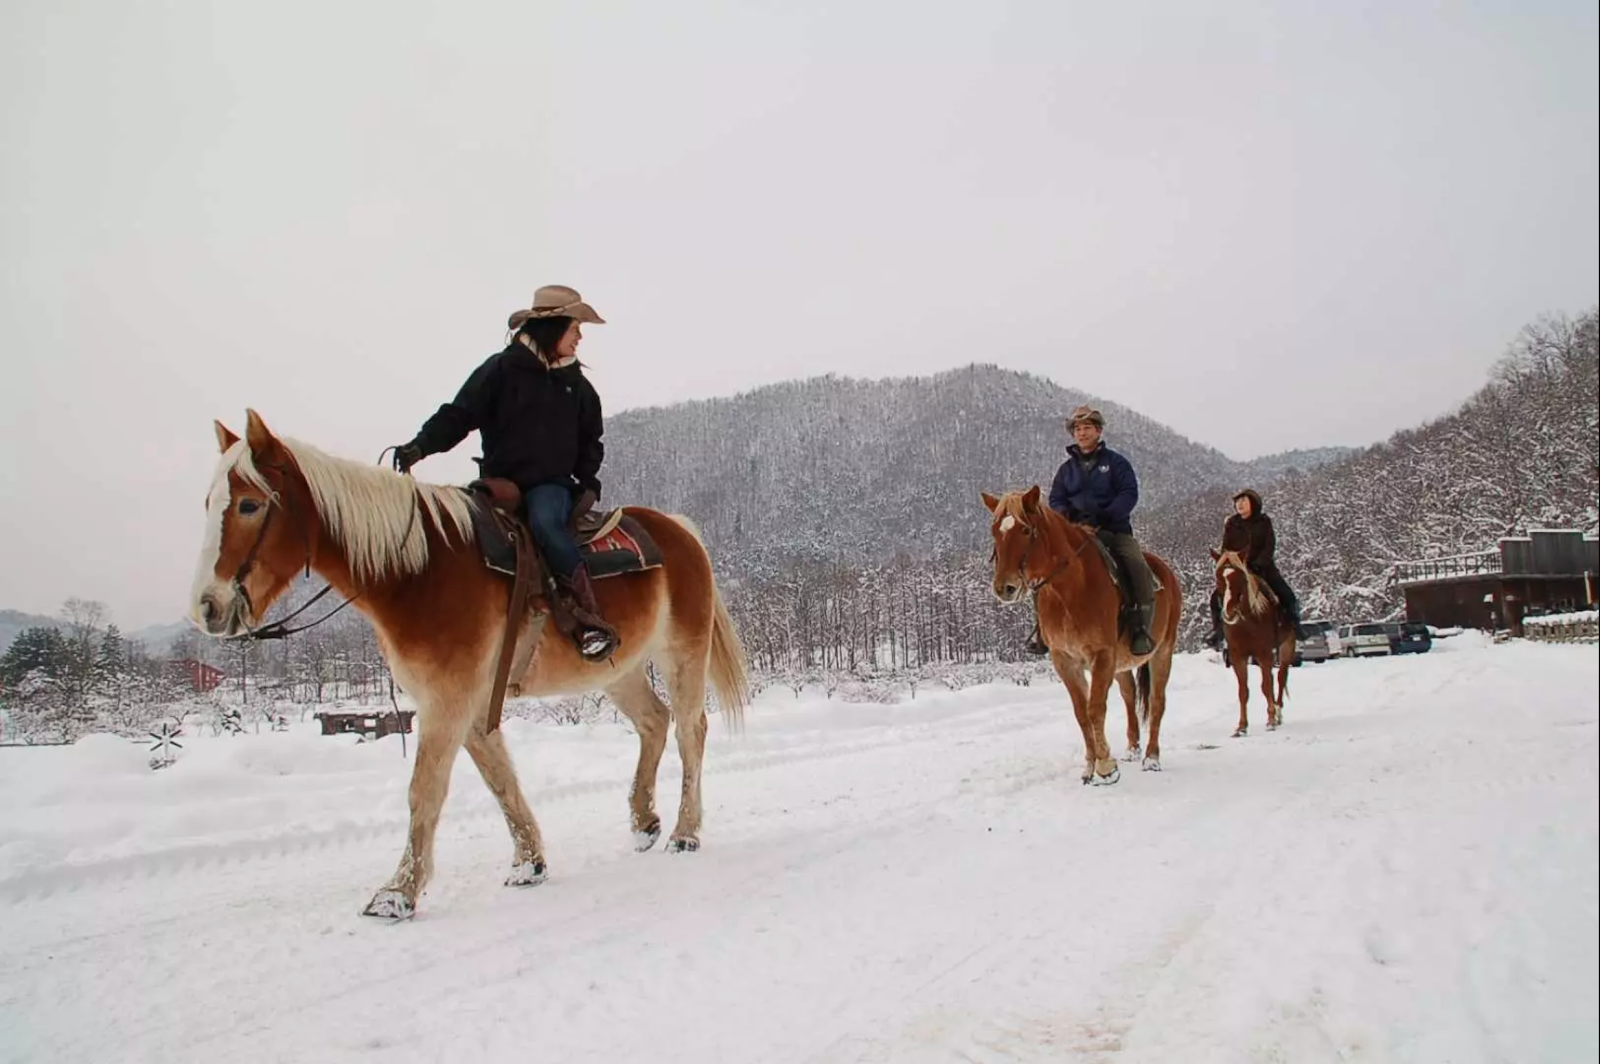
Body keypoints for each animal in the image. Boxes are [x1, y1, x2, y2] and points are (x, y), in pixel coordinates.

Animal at [190, 409, 752, 915]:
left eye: (248, 504)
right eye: (209, 502)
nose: (206, 607)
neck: (417, 574)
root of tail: (678, 529)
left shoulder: (447, 702)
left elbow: (424, 790)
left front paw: (398, 892)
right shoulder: (471, 705)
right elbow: (500, 781)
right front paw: (528, 863)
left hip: (682, 652)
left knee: (690, 730)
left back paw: (683, 831)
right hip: (618, 667)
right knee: (654, 722)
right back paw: (643, 821)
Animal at [979, 486, 1184, 780]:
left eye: (1026, 530)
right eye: (995, 531)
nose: (1003, 587)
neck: (1070, 589)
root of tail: (1166, 572)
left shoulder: (1102, 655)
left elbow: (1095, 708)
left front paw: (1106, 767)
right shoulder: (1065, 659)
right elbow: (1081, 712)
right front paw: (1091, 764)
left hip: (1163, 651)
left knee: (1157, 702)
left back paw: (1151, 758)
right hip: (1121, 664)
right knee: (1129, 695)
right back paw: (1133, 748)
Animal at [1209, 550, 1286, 736]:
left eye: (1241, 577)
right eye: (1218, 577)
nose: (1229, 612)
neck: (1247, 623)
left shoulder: (1264, 654)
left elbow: (1266, 686)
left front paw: (1271, 720)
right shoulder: (1238, 657)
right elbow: (1243, 691)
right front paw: (1242, 727)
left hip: (1286, 647)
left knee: (1281, 677)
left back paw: (1278, 713)